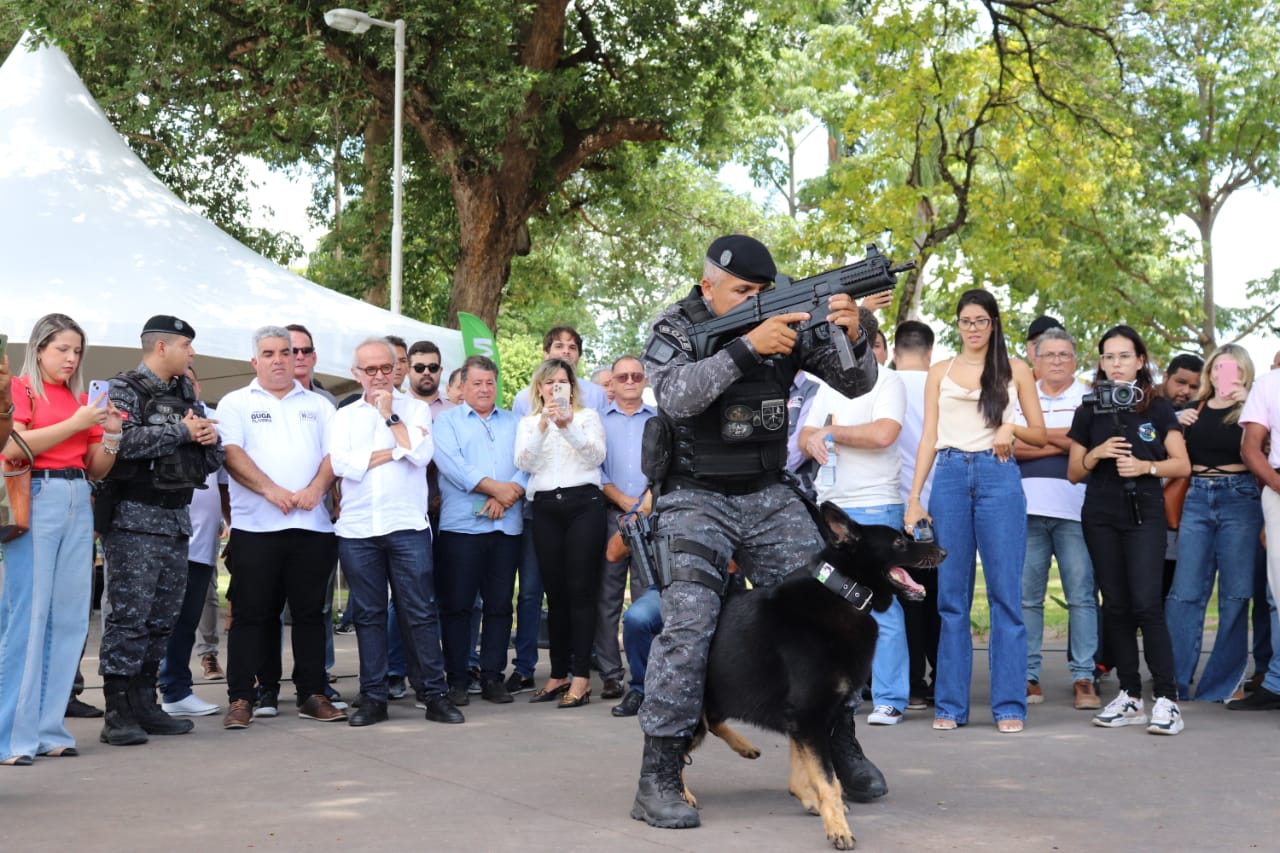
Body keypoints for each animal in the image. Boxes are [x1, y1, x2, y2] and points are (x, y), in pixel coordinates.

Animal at [686, 502, 947, 845]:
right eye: (898, 543)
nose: (944, 551)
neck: (843, 593)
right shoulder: (809, 717)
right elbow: (827, 779)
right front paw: (837, 827)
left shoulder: (808, 721)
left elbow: (812, 775)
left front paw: (814, 802)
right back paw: (678, 795)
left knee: (712, 724)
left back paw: (745, 746)